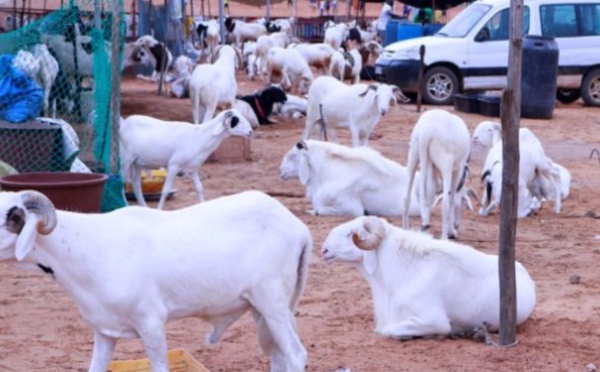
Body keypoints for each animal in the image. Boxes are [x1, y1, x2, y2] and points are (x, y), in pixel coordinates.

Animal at [0, 189, 310, 372]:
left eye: (12, 216)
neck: (88, 247)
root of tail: (299, 228)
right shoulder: (104, 331)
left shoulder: (151, 322)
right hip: (261, 308)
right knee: (280, 357)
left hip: (272, 302)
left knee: (296, 356)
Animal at [119, 109, 253, 211]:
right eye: (235, 120)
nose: (250, 132)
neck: (199, 136)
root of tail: (124, 123)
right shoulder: (173, 165)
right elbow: (165, 190)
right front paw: (159, 209)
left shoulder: (193, 169)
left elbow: (199, 188)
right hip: (126, 159)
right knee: (122, 182)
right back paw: (125, 205)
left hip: (138, 163)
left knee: (136, 184)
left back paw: (143, 207)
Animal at [404, 109, 474, 240]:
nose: (457, 225)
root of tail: (426, 131)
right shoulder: (457, 171)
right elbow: (452, 201)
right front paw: (451, 231)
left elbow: (430, 195)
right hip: (446, 163)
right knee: (445, 203)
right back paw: (443, 237)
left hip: (413, 154)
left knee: (407, 197)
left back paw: (408, 229)